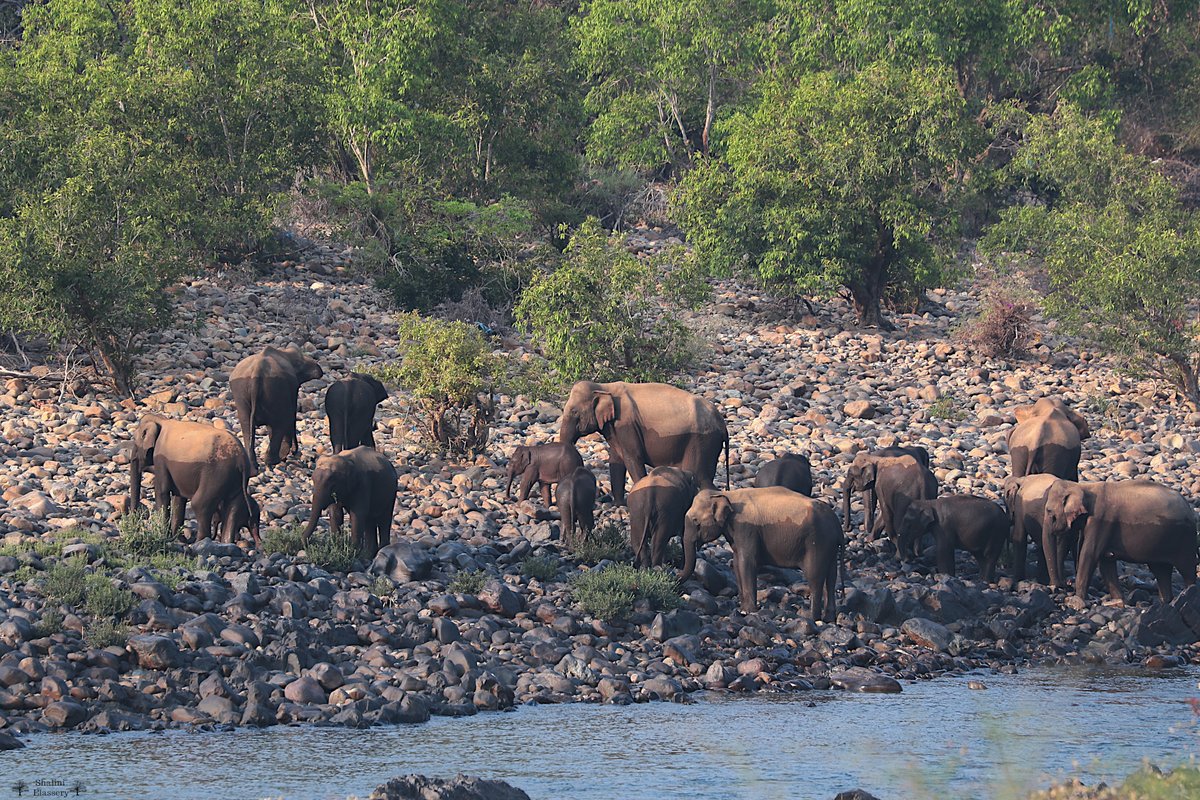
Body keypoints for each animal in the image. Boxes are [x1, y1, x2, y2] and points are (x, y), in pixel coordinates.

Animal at [128, 415, 256, 545]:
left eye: (135, 442)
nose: (136, 530)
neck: (161, 420)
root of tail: (241, 460)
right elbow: (179, 497)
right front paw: (178, 539)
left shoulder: (160, 459)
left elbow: (162, 491)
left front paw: (165, 536)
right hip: (235, 479)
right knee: (233, 506)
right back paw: (226, 543)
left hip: (216, 474)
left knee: (199, 504)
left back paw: (200, 542)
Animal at [230, 345, 323, 475]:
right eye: (299, 361)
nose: (320, 370)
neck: (284, 353)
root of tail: (257, 372)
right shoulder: (292, 389)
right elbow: (289, 416)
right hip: (276, 388)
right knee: (281, 421)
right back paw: (274, 461)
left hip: (241, 394)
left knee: (247, 425)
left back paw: (254, 468)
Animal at [559, 381, 729, 505]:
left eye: (574, 411)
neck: (604, 387)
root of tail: (722, 423)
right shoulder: (615, 429)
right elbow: (616, 461)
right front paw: (619, 505)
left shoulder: (626, 426)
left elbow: (633, 459)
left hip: (702, 442)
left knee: (700, 477)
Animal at [680, 488, 844, 619]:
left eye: (696, 521)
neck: (727, 494)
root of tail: (837, 524)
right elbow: (737, 563)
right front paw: (743, 609)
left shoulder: (746, 529)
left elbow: (747, 563)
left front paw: (750, 611)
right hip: (829, 546)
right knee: (831, 578)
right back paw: (828, 618)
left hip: (818, 542)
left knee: (815, 577)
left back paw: (811, 618)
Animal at [1042, 478, 1198, 604]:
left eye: (1049, 511)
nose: (1058, 587)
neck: (1083, 487)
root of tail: (1189, 507)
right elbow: (1105, 562)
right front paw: (1120, 601)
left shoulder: (1100, 521)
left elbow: (1090, 555)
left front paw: (1079, 599)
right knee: (1161, 570)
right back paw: (1166, 602)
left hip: (1185, 539)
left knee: (1187, 570)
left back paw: (1188, 595)